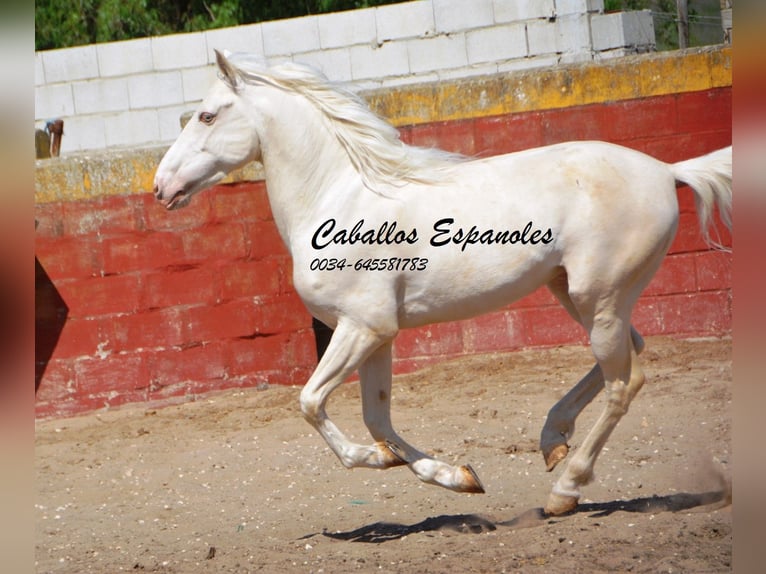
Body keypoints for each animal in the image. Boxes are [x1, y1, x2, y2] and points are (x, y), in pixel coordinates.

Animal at [154, 50, 732, 516]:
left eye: (206, 115)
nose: (161, 188)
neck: (340, 195)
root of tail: (666, 170)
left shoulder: (362, 328)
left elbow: (313, 402)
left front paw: (376, 461)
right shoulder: (375, 335)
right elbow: (378, 420)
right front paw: (459, 477)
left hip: (600, 296)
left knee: (624, 382)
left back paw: (564, 490)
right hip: (575, 293)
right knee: (630, 351)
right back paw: (553, 441)